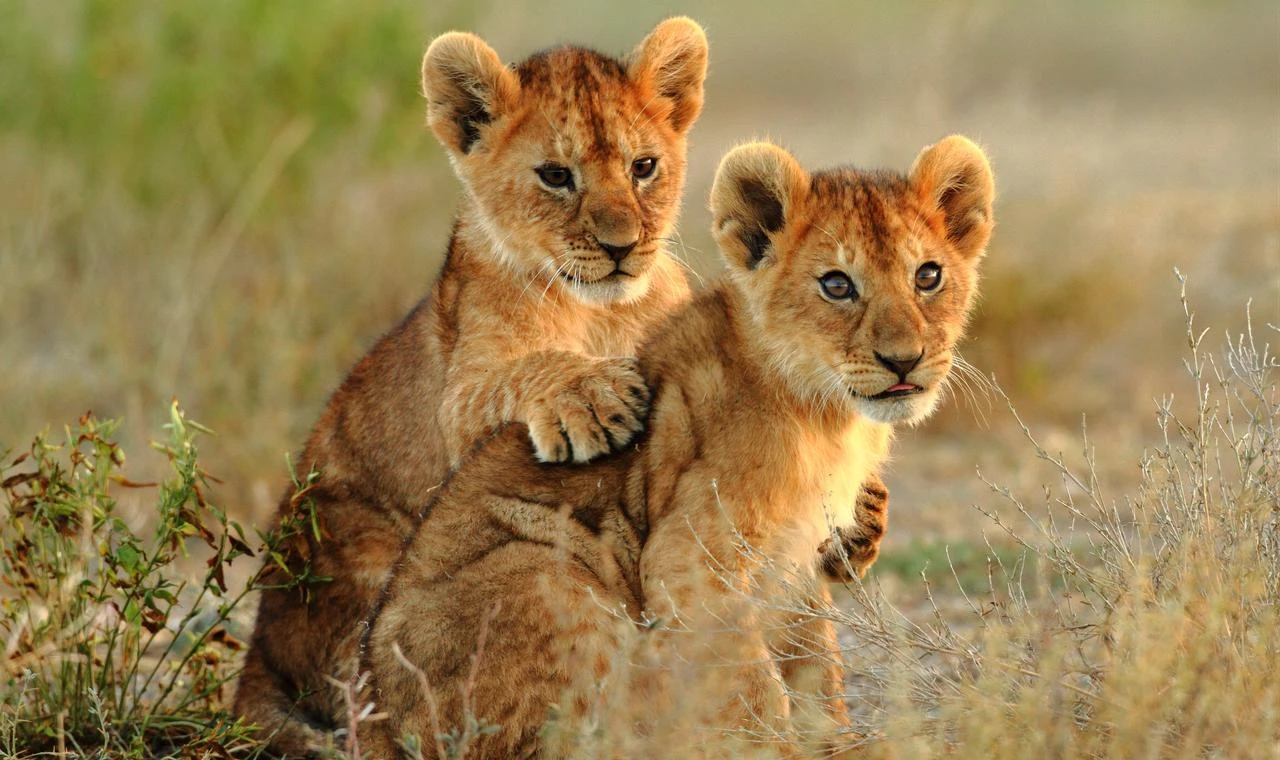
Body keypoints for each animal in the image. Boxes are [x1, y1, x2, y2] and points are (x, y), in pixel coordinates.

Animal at [234, 19, 710, 755]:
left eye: (644, 167)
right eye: (555, 176)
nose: (622, 247)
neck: (603, 313)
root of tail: (255, 654)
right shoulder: (462, 394)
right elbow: (521, 373)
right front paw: (593, 397)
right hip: (358, 552)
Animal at [356, 135, 996, 758]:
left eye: (928, 276)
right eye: (837, 285)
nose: (904, 361)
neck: (829, 417)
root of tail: (372, 712)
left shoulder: (794, 560)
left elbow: (815, 662)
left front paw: (835, 739)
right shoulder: (690, 556)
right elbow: (754, 684)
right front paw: (774, 748)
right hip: (545, 571)